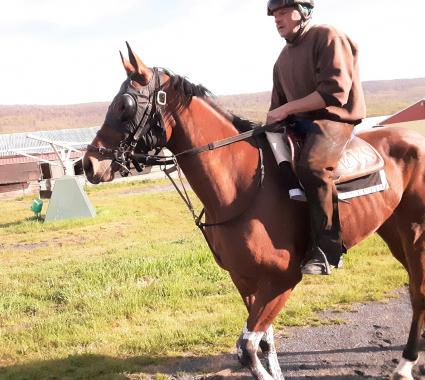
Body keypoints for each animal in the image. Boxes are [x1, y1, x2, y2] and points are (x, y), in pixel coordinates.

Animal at [83, 45, 424, 380]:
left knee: (419, 292)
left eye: (125, 105)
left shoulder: (282, 281)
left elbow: (246, 348)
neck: (241, 186)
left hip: (414, 234)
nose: (88, 164)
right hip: (393, 231)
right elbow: (264, 344)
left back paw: (406, 364)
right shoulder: (245, 279)